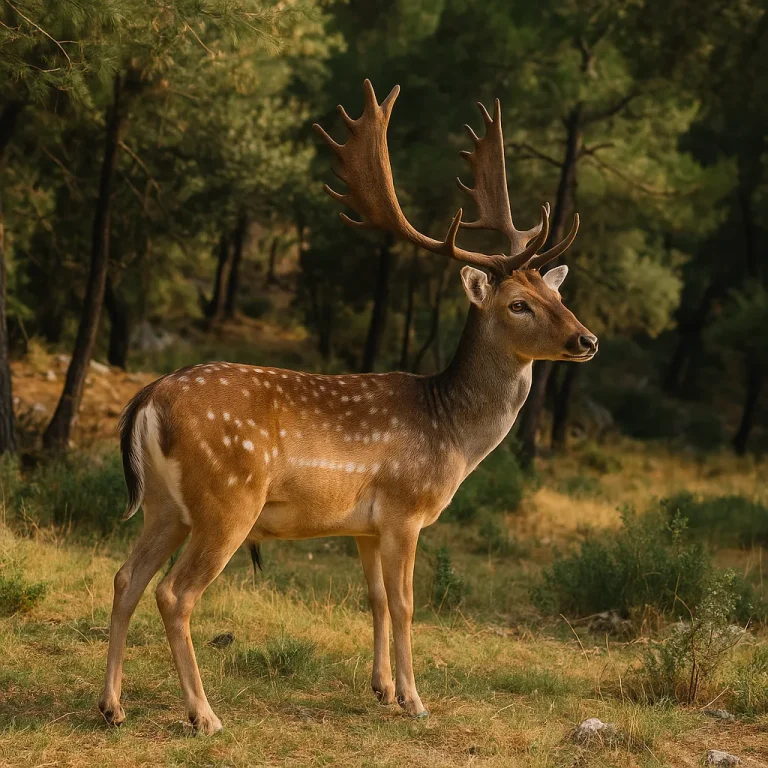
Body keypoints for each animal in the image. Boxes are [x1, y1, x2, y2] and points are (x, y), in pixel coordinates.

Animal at [98, 80, 598, 735]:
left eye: (556, 293)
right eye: (519, 303)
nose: (587, 340)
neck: (452, 434)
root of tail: (148, 398)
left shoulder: (363, 524)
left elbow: (377, 600)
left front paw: (381, 688)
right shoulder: (405, 509)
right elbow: (407, 604)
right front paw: (414, 700)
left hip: (164, 504)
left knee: (125, 577)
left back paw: (112, 705)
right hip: (227, 499)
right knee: (174, 592)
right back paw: (204, 715)